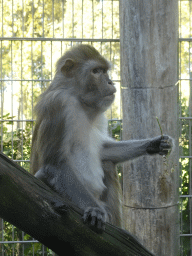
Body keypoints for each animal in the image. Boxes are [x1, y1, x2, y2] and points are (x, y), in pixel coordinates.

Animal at [30, 44, 172, 232]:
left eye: (105, 71)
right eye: (96, 71)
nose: (110, 82)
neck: (79, 99)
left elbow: (104, 151)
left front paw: (155, 144)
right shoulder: (58, 105)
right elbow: (55, 165)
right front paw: (95, 210)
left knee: (107, 164)